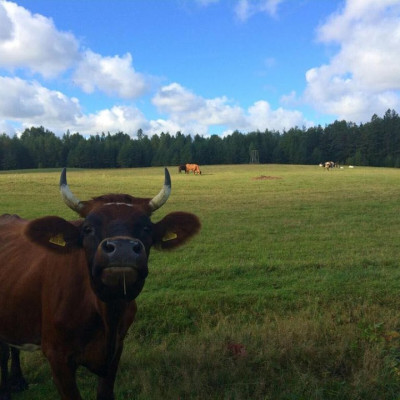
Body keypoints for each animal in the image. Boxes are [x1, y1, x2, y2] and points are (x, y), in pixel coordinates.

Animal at [0, 168, 200, 400]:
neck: (106, 312)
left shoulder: (116, 350)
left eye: (147, 228)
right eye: (87, 229)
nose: (122, 249)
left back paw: (18, 380)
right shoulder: (56, 355)